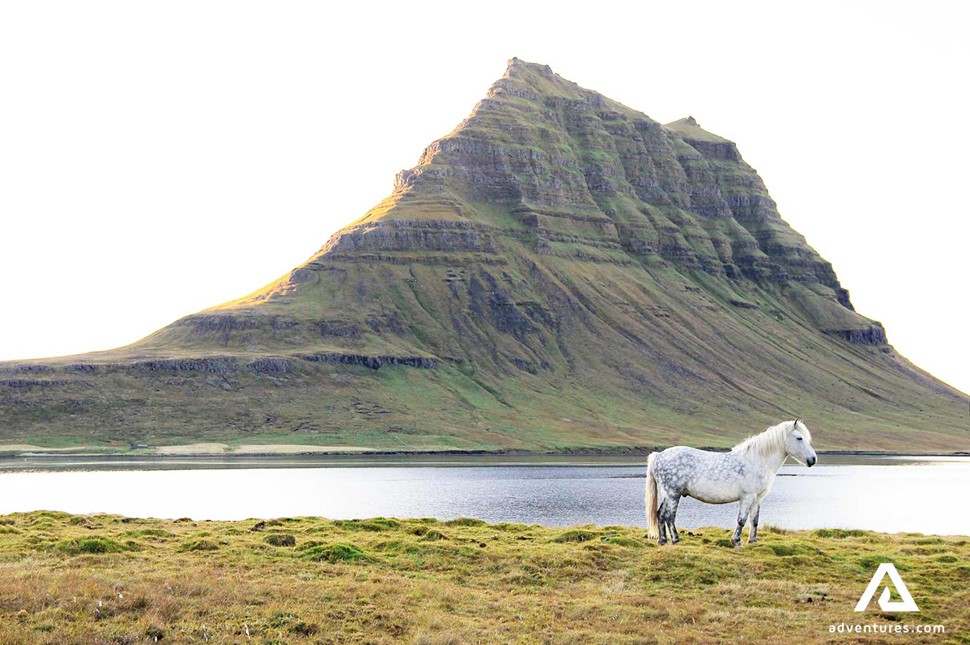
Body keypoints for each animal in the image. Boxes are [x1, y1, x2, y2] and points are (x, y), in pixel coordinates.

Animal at [644, 418, 816, 544]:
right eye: (799, 438)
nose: (812, 460)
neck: (757, 460)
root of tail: (659, 455)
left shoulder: (756, 498)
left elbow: (754, 520)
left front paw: (753, 541)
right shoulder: (747, 497)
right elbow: (742, 520)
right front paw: (736, 541)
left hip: (669, 494)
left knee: (660, 514)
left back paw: (663, 541)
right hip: (673, 494)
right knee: (669, 516)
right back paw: (675, 539)